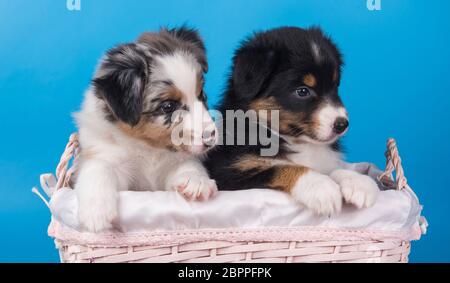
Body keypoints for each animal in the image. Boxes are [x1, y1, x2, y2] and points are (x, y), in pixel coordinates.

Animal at [206, 27, 378, 216]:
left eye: (335, 86)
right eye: (302, 91)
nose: (342, 124)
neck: (296, 141)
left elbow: (336, 168)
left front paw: (359, 183)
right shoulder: (227, 172)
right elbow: (279, 167)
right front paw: (321, 187)